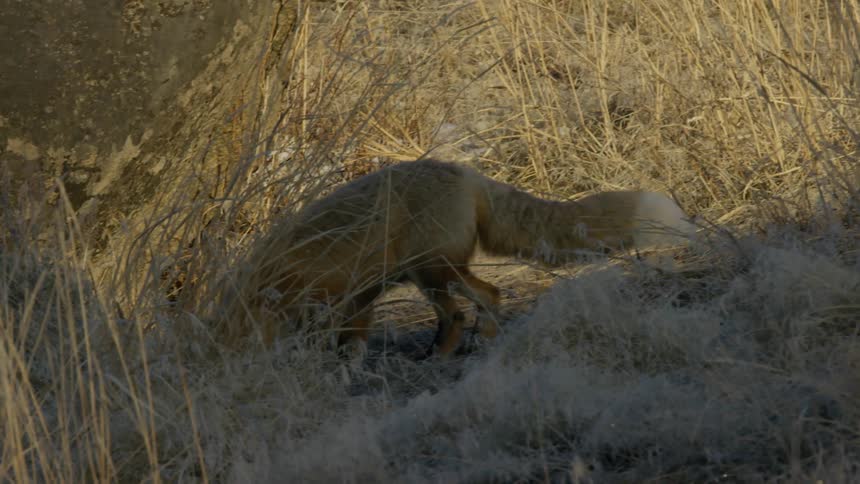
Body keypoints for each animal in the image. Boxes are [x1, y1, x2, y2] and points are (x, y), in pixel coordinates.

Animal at [230, 159, 696, 356]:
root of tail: (467, 173)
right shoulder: (360, 294)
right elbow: (351, 339)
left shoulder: (345, 295)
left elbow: (348, 342)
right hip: (429, 276)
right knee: (468, 308)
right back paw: (459, 347)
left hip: (434, 272)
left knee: (479, 300)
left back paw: (456, 350)